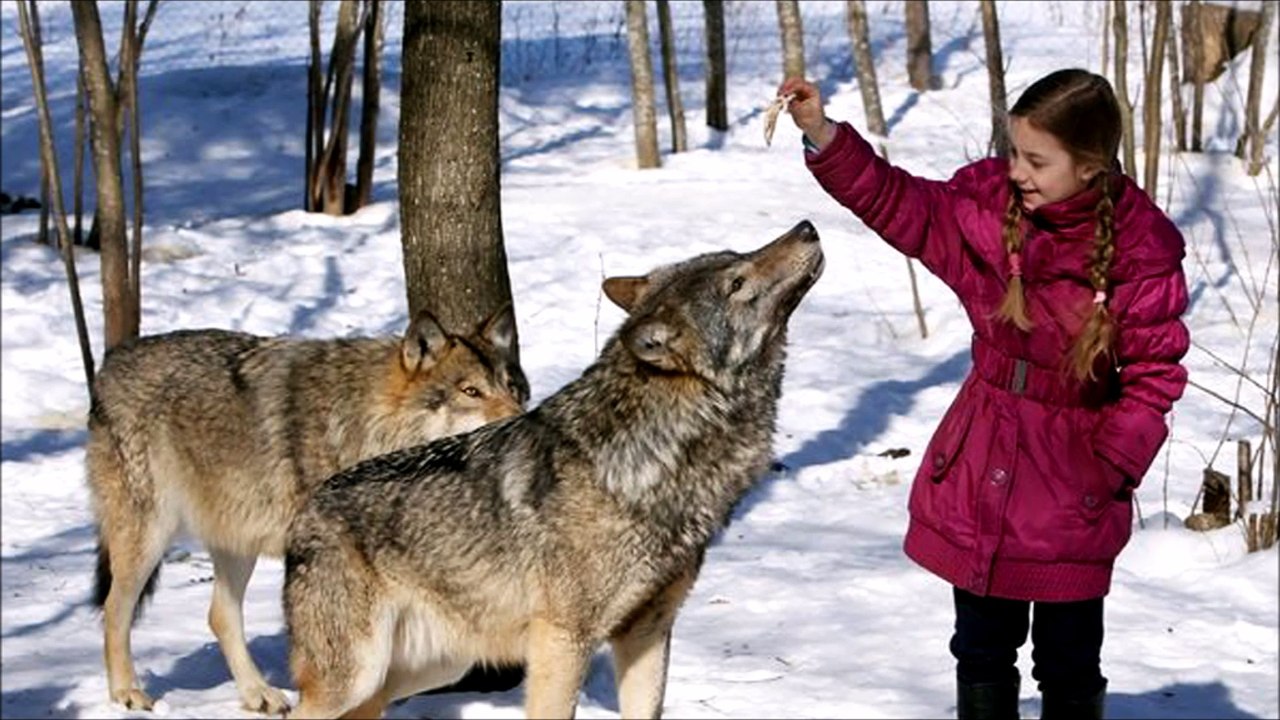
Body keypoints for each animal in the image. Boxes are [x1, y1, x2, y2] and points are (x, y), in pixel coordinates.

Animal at [86, 305, 527, 713]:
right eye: (471, 392)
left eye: (513, 389)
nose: (520, 421)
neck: (367, 426)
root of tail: (110, 361)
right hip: (148, 536)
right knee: (114, 609)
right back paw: (126, 692)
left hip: (237, 542)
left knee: (219, 615)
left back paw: (258, 694)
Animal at [282, 220, 824, 719]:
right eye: (738, 281)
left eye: (738, 259)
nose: (806, 227)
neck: (656, 458)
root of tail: (307, 508)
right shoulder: (563, 639)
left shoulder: (648, 633)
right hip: (352, 679)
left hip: (421, 671)